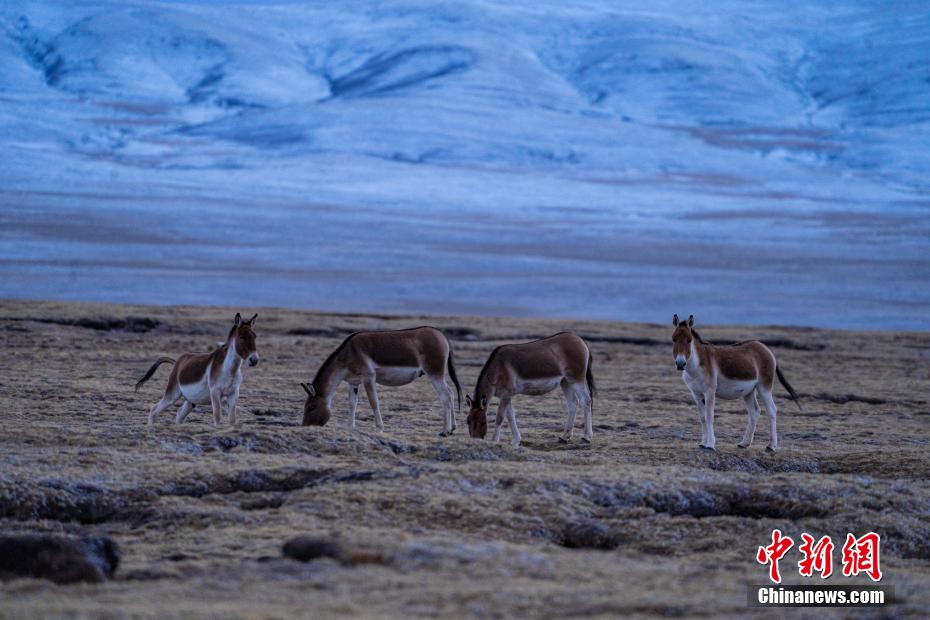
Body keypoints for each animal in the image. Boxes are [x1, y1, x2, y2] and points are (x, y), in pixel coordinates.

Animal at [299, 327, 462, 434]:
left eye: (311, 407)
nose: (305, 427)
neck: (346, 354)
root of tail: (442, 335)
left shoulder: (368, 376)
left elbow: (374, 402)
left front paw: (379, 428)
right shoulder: (353, 382)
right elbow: (352, 404)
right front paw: (350, 428)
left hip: (434, 373)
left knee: (446, 396)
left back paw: (444, 431)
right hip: (437, 375)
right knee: (451, 393)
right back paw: (453, 427)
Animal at [466, 332, 595, 447]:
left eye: (483, 422)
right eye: (468, 421)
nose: (475, 441)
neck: (497, 368)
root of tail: (580, 339)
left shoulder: (507, 394)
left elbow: (500, 417)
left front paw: (494, 441)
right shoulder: (506, 395)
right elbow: (510, 415)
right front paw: (516, 441)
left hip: (576, 379)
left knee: (586, 400)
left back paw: (586, 437)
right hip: (565, 381)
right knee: (573, 403)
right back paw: (564, 437)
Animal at [671, 314, 800, 452]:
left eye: (689, 340)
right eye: (673, 339)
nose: (680, 363)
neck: (697, 365)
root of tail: (765, 348)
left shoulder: (710, 391)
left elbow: (709, 416)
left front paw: (710, 444)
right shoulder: (696, 393)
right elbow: (702, 418)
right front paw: (702, 443)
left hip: (764, 387)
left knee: (772, 410)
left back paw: (771, 446)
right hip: (749, 391)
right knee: (754, 412)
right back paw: (744, 443)